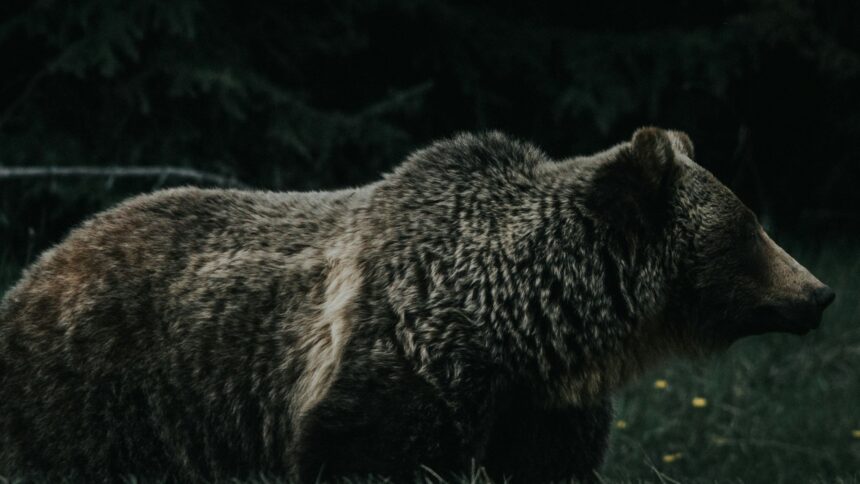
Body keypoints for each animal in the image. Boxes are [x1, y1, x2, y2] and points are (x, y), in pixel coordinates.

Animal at [0, 127, 835, 483]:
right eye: (749, 228)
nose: (820, 293)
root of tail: (40, 264)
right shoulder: (397, 371)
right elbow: (368, 452)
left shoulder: (540, 410)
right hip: (106, 392)